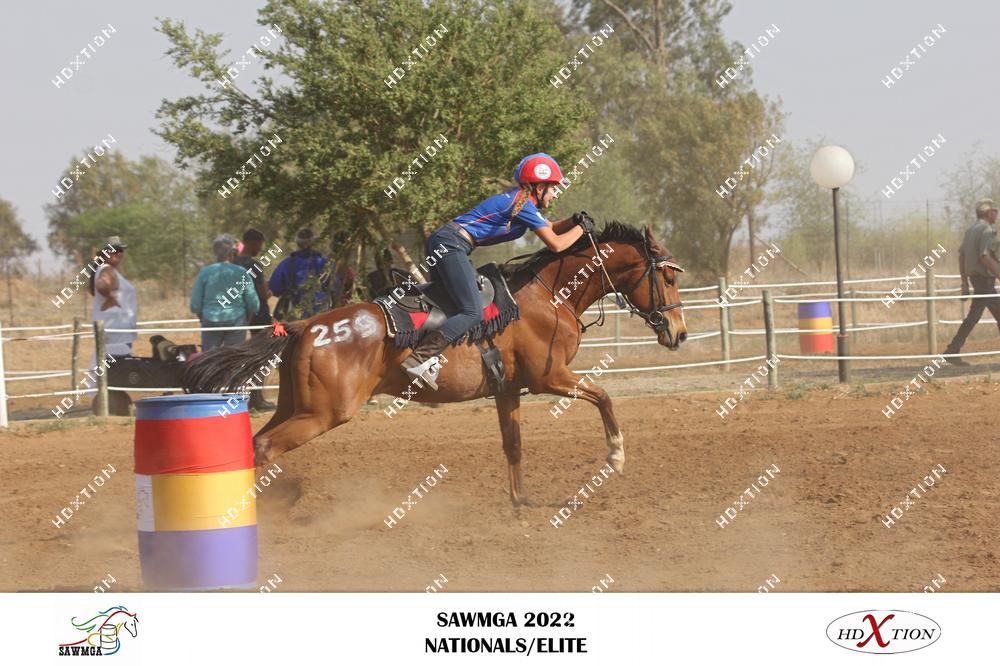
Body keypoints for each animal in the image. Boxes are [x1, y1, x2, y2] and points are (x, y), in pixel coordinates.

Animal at [183, 222, 687, 506]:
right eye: (665, 275)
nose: (679, 332)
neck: (548, 295)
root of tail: (306, 324)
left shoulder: (508, 389)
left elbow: (514, 445)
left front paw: (520, 501)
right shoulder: (551, 379)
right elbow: (603, 396)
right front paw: (616, 457)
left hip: (296, 405)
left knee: (256, 443)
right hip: (323, 413)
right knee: (266, 448)